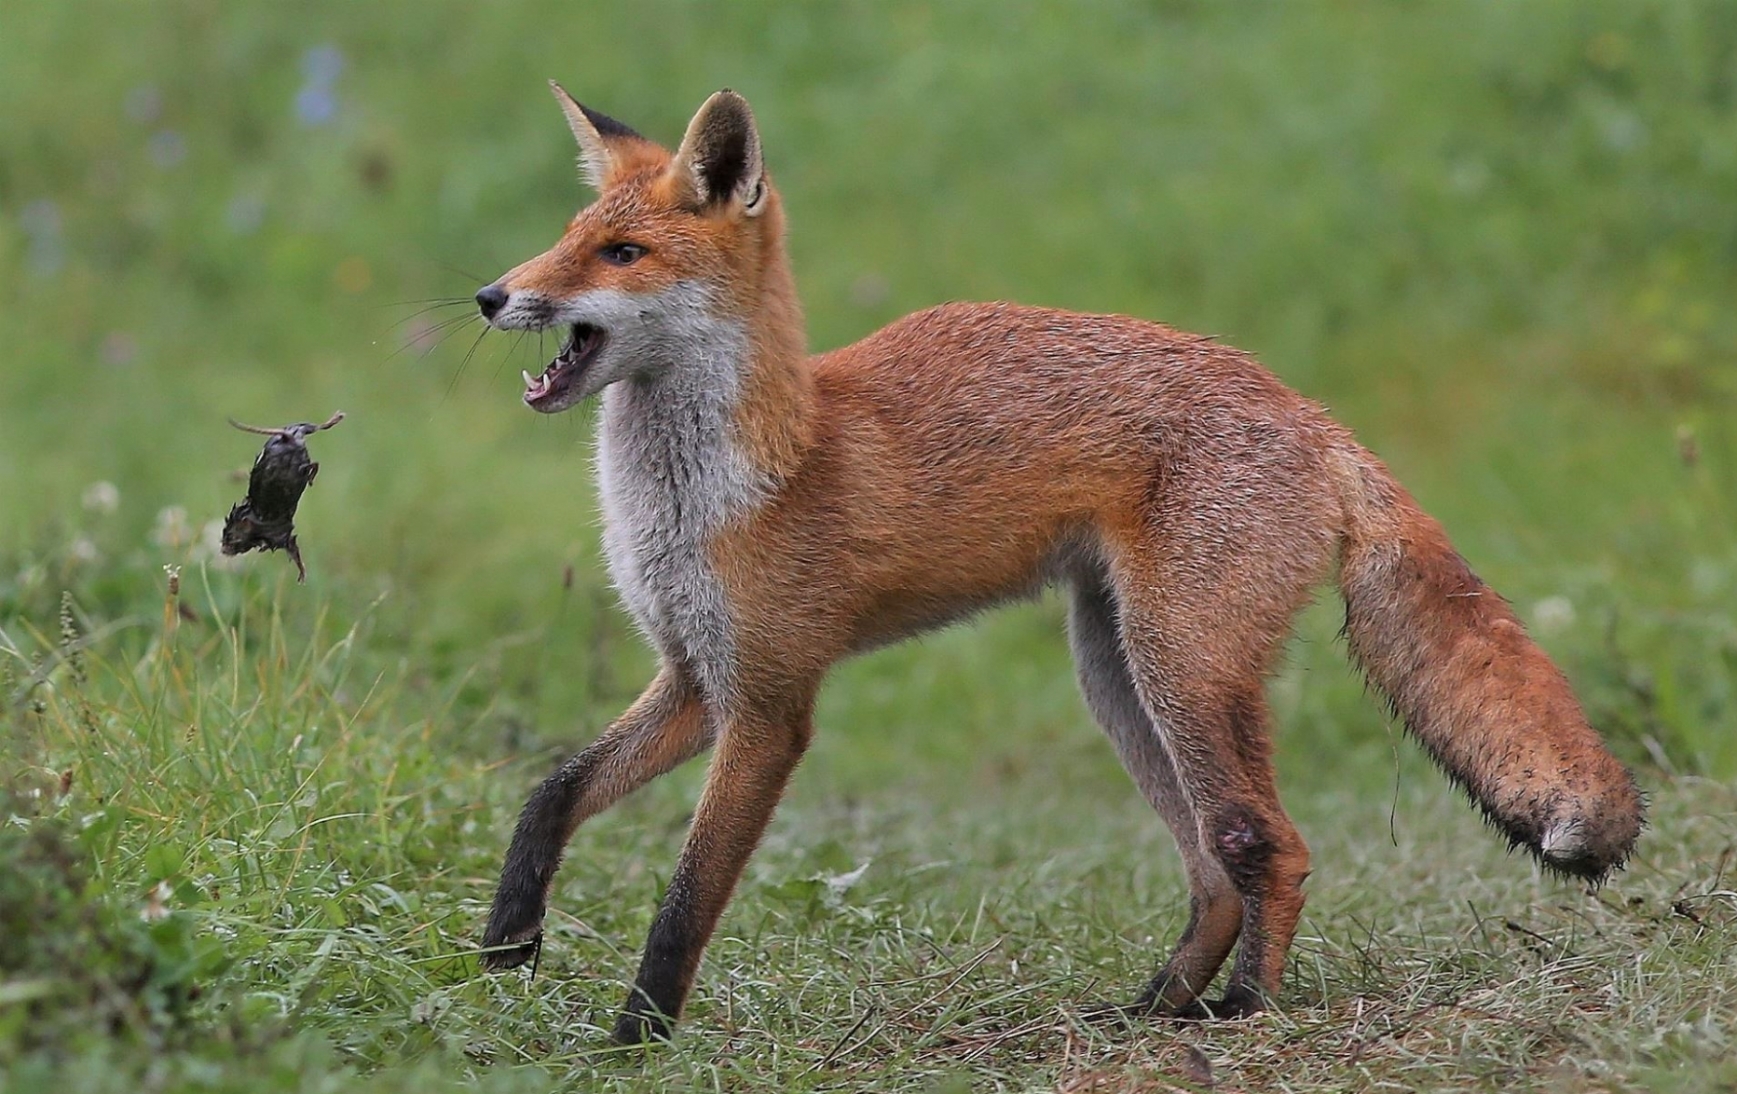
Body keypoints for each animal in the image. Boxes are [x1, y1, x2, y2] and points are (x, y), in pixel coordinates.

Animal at [472, 85, 1639, 1048]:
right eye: (565, 239)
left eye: (621, 253)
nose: (489, 295)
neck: (727, 487)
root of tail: (1311, 415)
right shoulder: (693, 678)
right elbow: (551, 791)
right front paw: (505, 945)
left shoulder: (769, 703)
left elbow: (684, 898)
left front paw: (633, 1041)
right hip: (1113, 670)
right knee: (1214, 869)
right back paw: (1150, 1011)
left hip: (1179, 667)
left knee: (1270, 845)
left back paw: (1241, 1014)